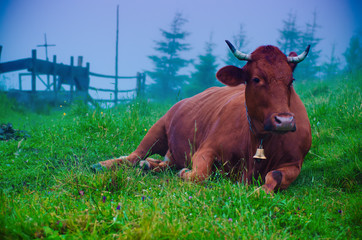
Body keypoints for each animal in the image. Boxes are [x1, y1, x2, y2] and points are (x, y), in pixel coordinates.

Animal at [92, 40, 312, 194]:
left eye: (291, 80)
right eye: (257, 79)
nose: (284, 121)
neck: (260, 142)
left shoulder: (295, 163)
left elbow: (274, 176)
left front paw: (262, 191)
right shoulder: (207, 148)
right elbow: (199, 175)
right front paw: (185, 173)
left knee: (164, 162)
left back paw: (150, 165)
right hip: (158, 128)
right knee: (133, 157)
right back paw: (102, 165)